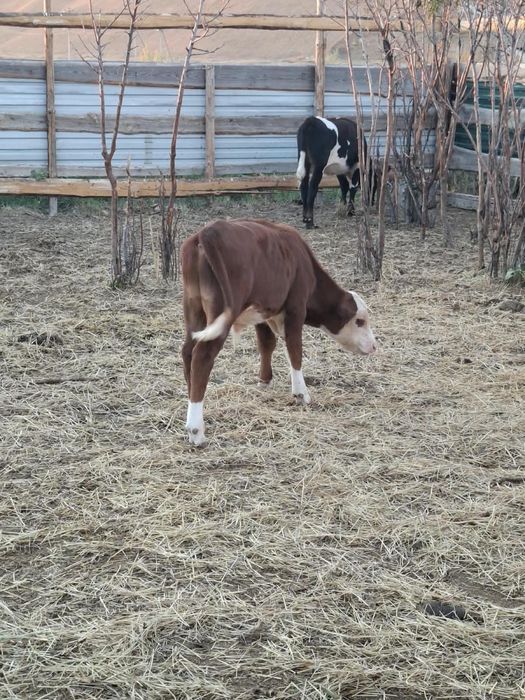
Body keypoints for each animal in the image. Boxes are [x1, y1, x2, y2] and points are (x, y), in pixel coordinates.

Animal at [181, 218, 377, 446]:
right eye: (360, 321)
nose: (374, 346)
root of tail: (209, 231)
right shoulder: (296, 308)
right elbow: (295, 350)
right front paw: (301, 394)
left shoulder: (263, 312)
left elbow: (267, 344)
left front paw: (264, 381)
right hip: (220, 313)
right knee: (202, 356)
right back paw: (196, 429)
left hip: (194, 310)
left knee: (187, 352)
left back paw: (192, 399)